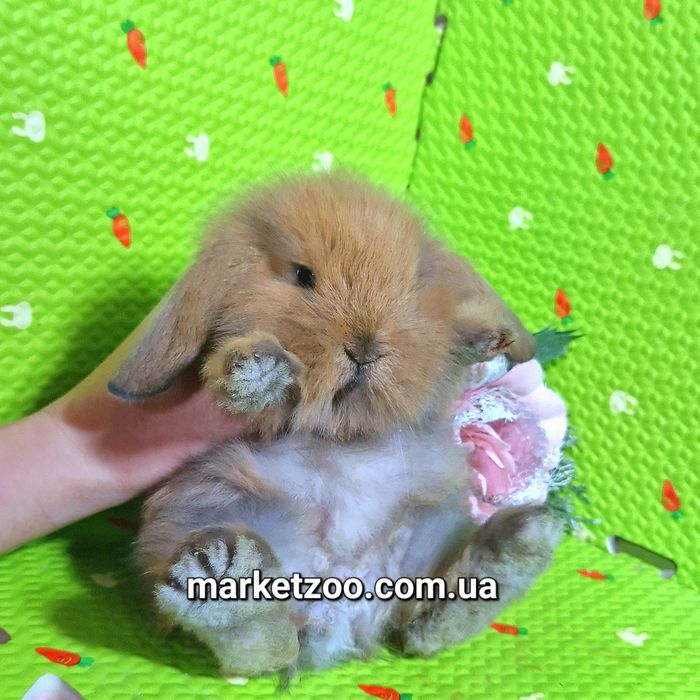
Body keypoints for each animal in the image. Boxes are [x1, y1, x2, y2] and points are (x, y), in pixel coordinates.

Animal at [108, 172, 563, 678]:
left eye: (410, 284)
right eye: (303, 276)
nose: (365, 347)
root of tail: (340, 607)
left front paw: (488, 338)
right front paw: (258, 371)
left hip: (429, 535)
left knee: (424, 622)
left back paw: (519, 547)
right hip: (201, 515)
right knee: (267, 644)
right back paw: (222, 583)